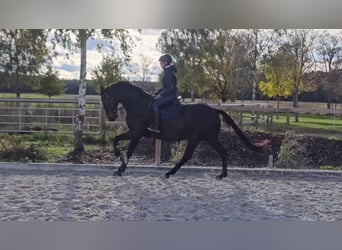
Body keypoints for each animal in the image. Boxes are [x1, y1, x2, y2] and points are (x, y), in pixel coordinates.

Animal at [100, 81, 272, 179]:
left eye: (105, 98)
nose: (112, 117)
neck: (138, 104)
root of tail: (214, 110)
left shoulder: (137, 133)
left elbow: (128, 150)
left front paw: (120, 168)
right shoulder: (135, 133)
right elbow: (116, 139)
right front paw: (118, 156)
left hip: (197, 138)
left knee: (187, 155)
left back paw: (169, 173)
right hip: (209, 138)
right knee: (222, 152)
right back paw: (221, 175)